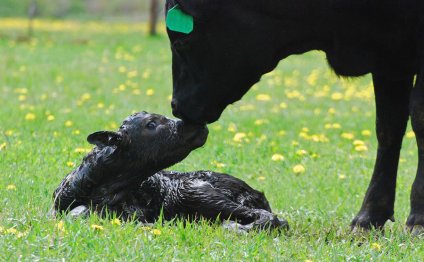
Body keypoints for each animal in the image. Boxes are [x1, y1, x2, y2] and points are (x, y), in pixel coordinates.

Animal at [165, 1, 424, 232]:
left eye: (180, 41)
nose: (176, 106)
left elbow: (418, 116)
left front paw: (418, 218)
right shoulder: (388, 59)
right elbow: (388, 127)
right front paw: (369, 217)